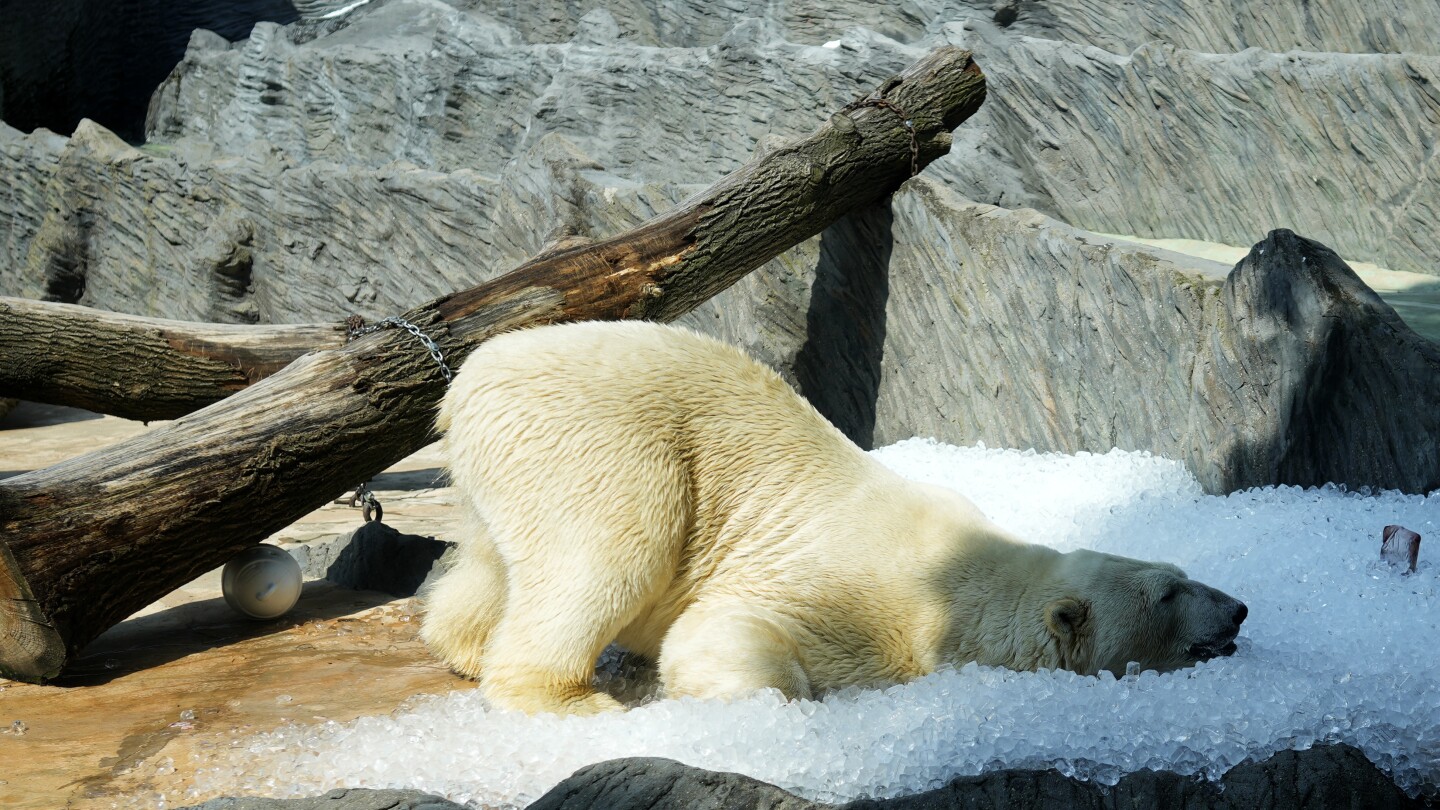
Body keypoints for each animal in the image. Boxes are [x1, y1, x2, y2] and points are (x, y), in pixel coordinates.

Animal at [420, 321, 1249, 711]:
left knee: (502, 560)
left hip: (512, 462)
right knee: (609, 555)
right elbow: (722, 628)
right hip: (604, 441)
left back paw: (466, 647)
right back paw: (570, 699)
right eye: (1168, 595)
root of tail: (469, 380)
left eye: (1184, 574)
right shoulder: (863, 601)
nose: (1239, 608)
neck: (960, 580)